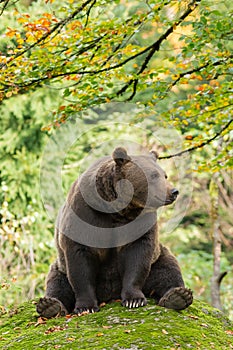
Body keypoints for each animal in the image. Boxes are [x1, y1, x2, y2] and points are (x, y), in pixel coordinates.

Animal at [36, 147, 193, 318]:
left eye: (164, 175)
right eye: (153, 175)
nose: (174, 191)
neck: (117, 208)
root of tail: (110, 295)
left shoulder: (139, 221)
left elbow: (137, 256)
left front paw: (134, 299)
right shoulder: (85, 214)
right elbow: (80, 262)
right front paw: (86, 307)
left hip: (158, 258)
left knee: (168, 269)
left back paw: (178, 296)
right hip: (60, 266)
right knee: (57, 283)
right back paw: (50, 305)